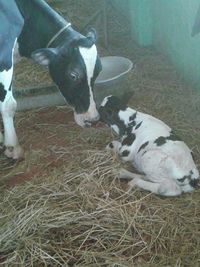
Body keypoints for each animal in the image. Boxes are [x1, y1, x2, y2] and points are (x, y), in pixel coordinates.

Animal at [0, 0, 102, 159]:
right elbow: (8, 105)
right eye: (73, 75)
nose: (93, 119)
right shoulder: (4, 59)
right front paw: (12, 147)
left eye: (99, 71)